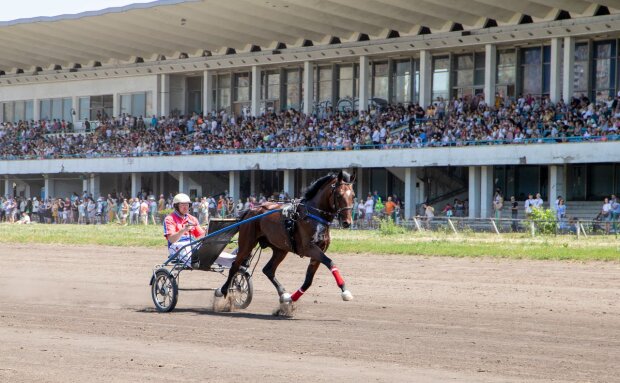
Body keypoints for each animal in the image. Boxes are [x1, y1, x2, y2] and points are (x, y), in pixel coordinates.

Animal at [216, 170, 356, 306]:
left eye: (353, 196)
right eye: (339, 195)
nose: (347, 222)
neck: (313, 215)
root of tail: (251, 211)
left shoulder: (319, 250)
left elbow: (308, 280)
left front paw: (290, 299)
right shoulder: (309, 248)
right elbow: (330, 262)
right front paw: (345, 291)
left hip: (280, 249)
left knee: (268, 270)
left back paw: (283, 294)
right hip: (247, 243)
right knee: (235, 266)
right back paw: (224, 290)